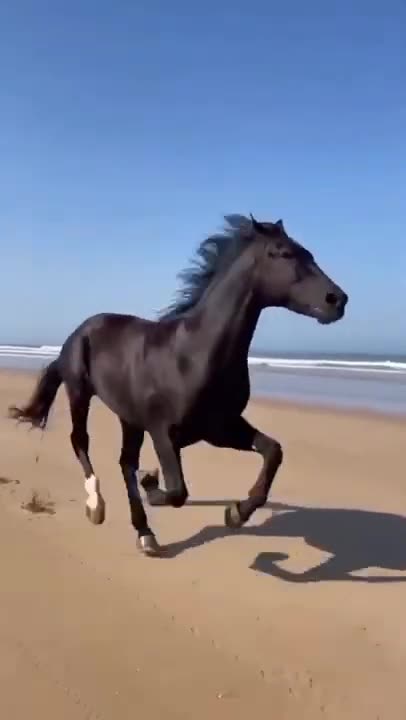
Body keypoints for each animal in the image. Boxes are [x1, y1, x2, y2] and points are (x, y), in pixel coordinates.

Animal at [9, 213, 348, 556]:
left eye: (308, 253)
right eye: (284, 253)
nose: (338, 299)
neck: (194, 355)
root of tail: (80, 330)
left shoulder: (220, 428)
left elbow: (272, 451)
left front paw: (236, 512)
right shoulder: (164, 431)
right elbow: (177, 491)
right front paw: (152, 482)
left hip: (129, 418)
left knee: (125, 462)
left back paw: (145, 533)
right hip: (80, 392)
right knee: (80, 440)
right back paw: (97, 506)